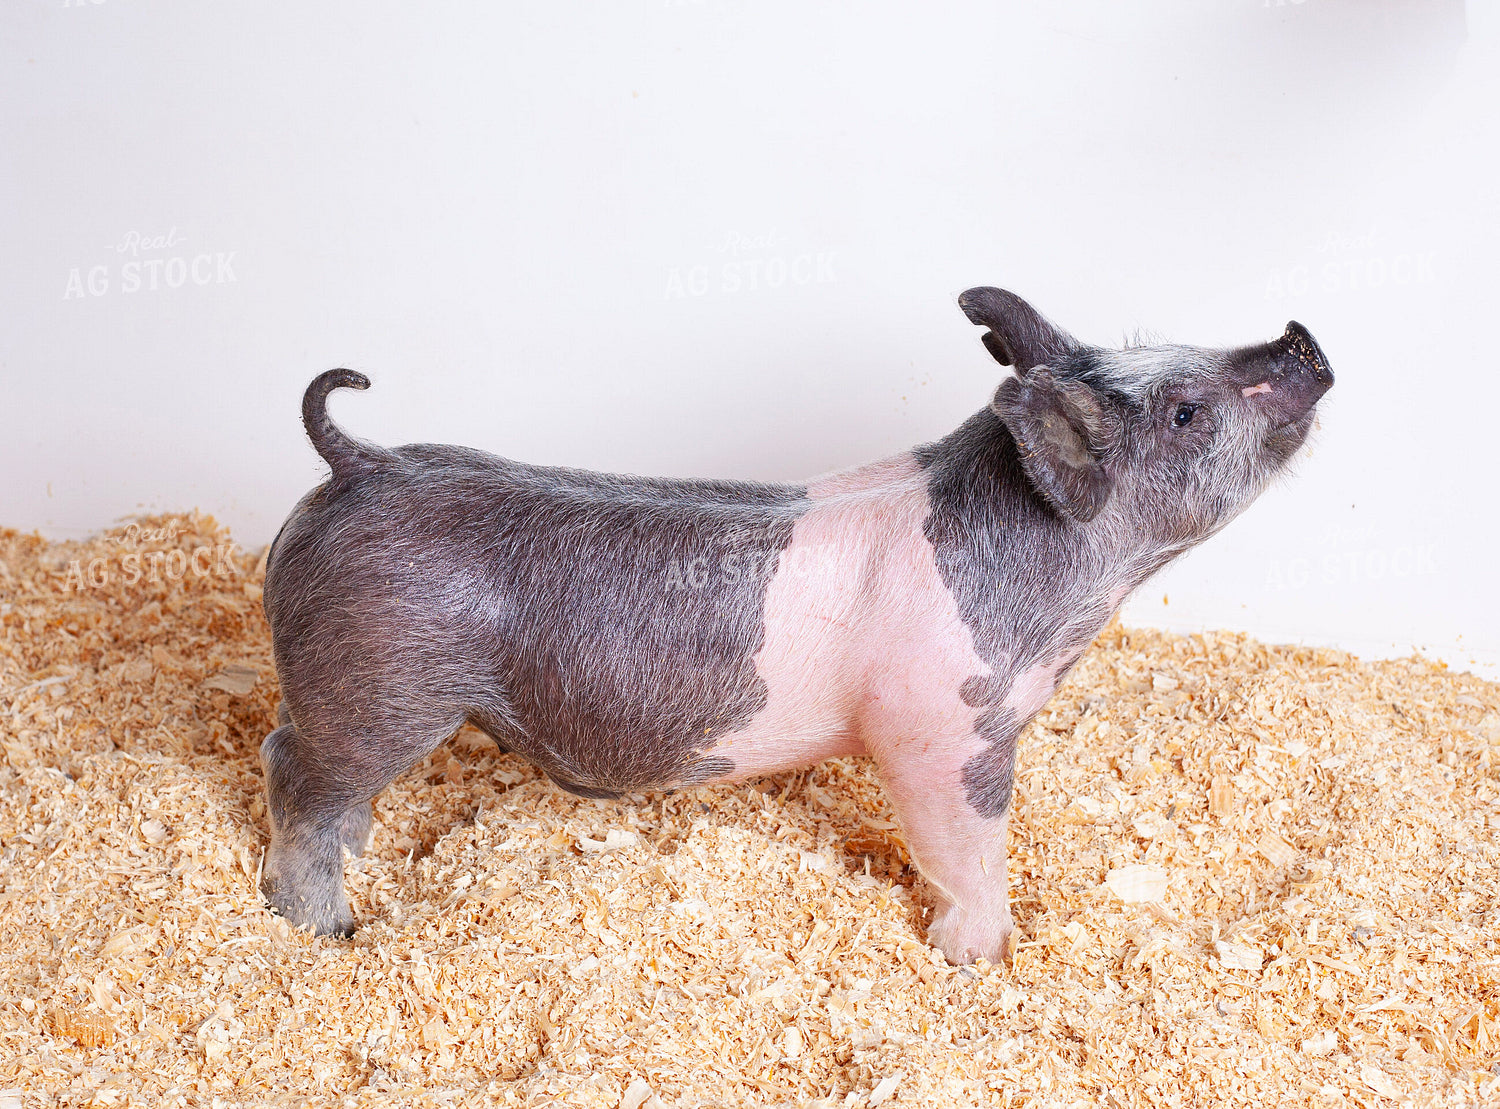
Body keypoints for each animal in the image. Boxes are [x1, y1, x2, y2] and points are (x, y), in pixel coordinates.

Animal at [258, 287, 1332, 963]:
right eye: (1187, 412)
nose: (1298, 337)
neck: (1063, 600)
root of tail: (361, 463)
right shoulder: (942, 732)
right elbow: (967, 849)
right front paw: (981, 958)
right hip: (382, 679)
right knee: (291, 771)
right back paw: (328, 926)